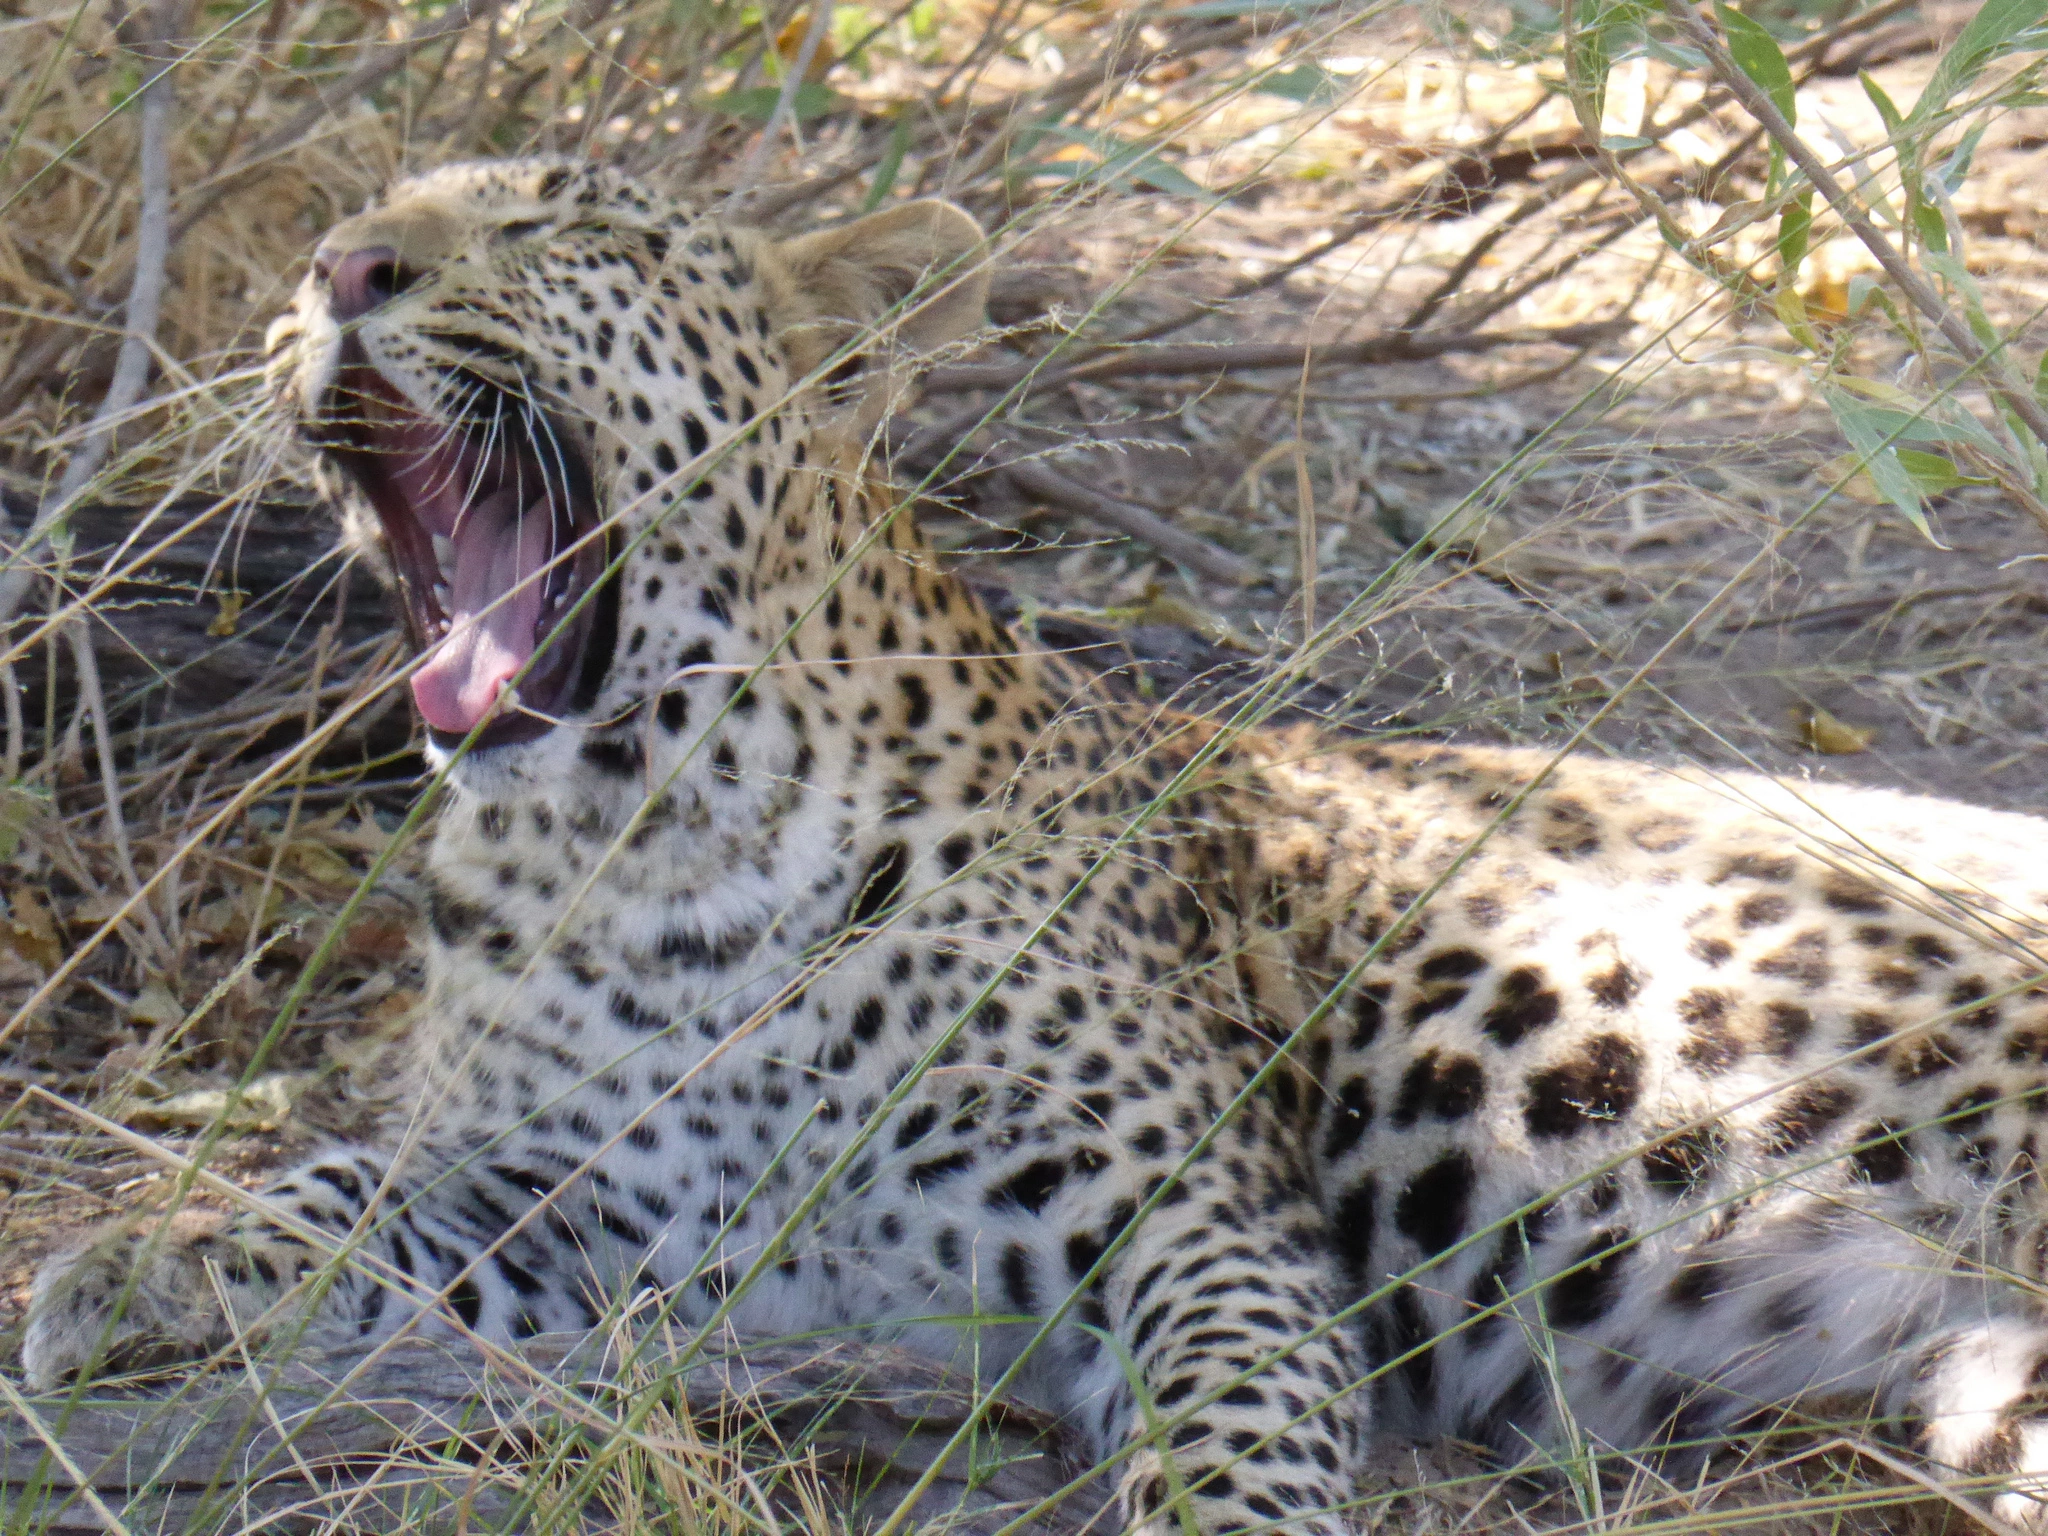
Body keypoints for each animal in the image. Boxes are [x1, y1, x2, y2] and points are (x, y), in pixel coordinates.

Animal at [19, 159, 2048, 1536]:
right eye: (356, 227)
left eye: (560, 231)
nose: (340, 268)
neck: (641, 841)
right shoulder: (568, 1194)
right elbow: (339, 1190)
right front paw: (127, 1266)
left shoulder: (1201, 1229)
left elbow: (1227, 1434)